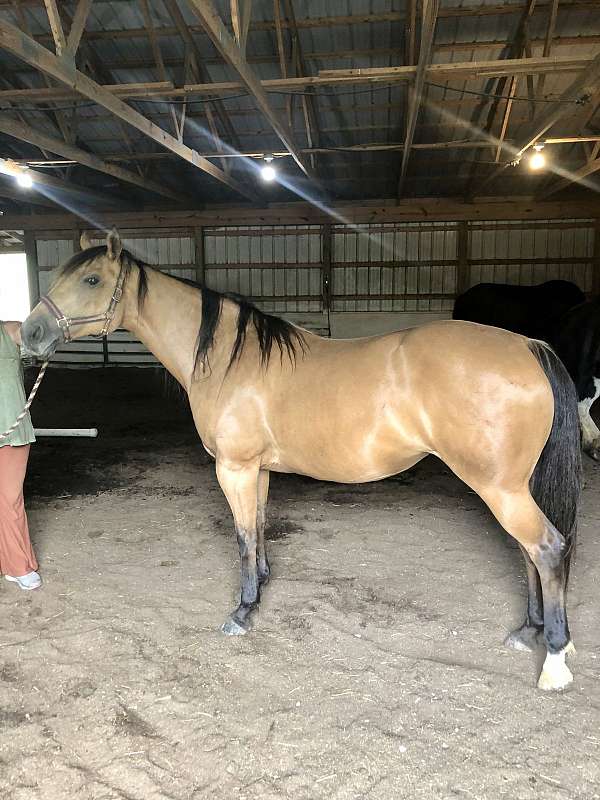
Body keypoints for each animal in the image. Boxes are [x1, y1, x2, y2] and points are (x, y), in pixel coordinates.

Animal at [22, 229, 582, 691]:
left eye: (91, 278)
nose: (29, 334)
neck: (230, 360)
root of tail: (528, 346)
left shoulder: (234, 467)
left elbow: (242, 534)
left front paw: (243, 611)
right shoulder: (258, 469)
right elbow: (260, 525)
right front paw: (262, 585)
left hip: (499, 488)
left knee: (547, 547)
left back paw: (554, 658)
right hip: (512, 487)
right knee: (528, 552)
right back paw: (528, 630)